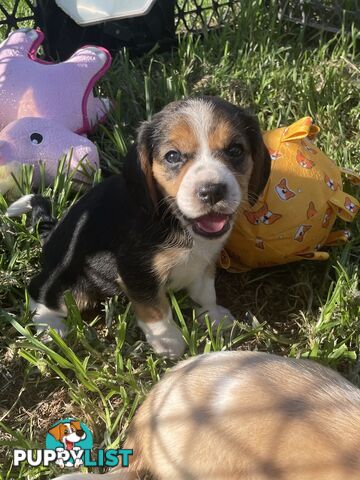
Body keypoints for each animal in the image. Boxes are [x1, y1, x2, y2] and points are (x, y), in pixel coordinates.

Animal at [7, 97, 270, 358]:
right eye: (173, 156)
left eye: (235, 150)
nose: (213, 191)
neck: (173, 218)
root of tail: (50, 233)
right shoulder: (136, 271)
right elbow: (155, 309)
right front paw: (169, 342)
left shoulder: (205, 261)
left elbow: (205, 293)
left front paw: (213, 316)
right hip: (72, 288)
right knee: (38, 291)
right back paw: (49, 326)